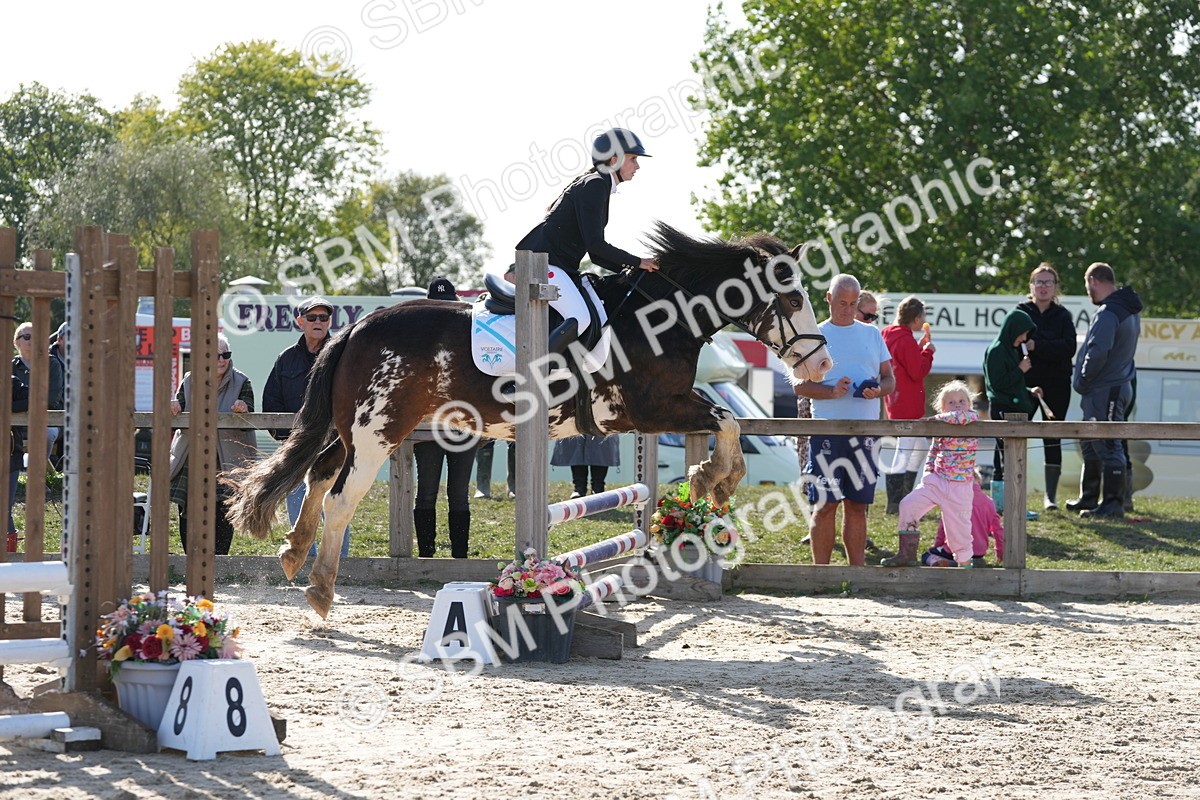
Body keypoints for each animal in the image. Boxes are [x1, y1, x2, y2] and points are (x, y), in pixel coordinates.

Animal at [226, 223, 832, 618]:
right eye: (793, 298)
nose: (821, 364)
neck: (661, 316)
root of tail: (354, 327)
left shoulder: (658, 412)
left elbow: (725, 424)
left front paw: (709, 484)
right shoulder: (645, 408)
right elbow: (726, 421)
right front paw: (715, 480)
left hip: (359, 429)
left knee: (319, 473)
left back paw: (294, 554)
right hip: (380, 432)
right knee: (340, 497)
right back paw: (320, 591)